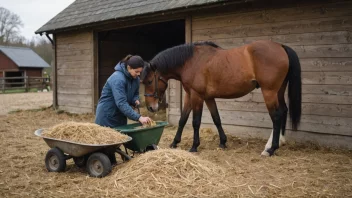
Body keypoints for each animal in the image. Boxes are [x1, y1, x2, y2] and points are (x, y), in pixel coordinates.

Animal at [142, 40, 302, 156]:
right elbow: (200, 119)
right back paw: (278, 142)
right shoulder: (200, 96)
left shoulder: (197, 96)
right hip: (278, 91)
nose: (151, 107)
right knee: (284, 110)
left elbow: (195, 122)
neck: (191, 61)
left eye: (149, 81)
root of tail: (281, 46)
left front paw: (194, 146)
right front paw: (175, 143)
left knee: (276, 116)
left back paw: (271, 149)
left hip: (269, 92)